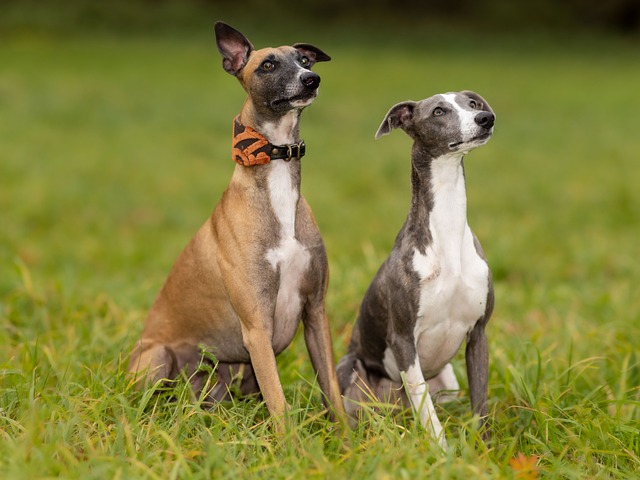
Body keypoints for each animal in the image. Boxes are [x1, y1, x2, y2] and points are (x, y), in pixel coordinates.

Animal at [129, 21, 344, 432]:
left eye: (305, 59)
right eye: (268, 65)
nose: (311, 79)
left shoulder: (315, 312)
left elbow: (333, 391)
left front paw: (346, 438)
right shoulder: (257, 328)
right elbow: (279, 403)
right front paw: (292, 446)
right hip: (158, 358)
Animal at [340, 92, 496, 448]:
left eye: (472, 103)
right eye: (438, 111)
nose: (486, 119)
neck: (447, 232)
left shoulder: (478, 333)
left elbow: (480, 401)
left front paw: (481, 449)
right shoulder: (403, 340)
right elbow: (424, 406)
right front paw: (441, 451)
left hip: (449, 382)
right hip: (349, 372)